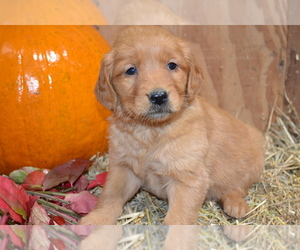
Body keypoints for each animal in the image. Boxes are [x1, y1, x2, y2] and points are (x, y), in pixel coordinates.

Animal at [79, 26, 264, 226]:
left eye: (172, 65)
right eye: (131, 70)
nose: (159, 96)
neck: (151, 131)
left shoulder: (187, 179)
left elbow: (177, 219)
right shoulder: (122, 167)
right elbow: (109, 195)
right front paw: (96, 220)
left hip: (253, 163)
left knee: (238, 187)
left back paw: (236, 204)